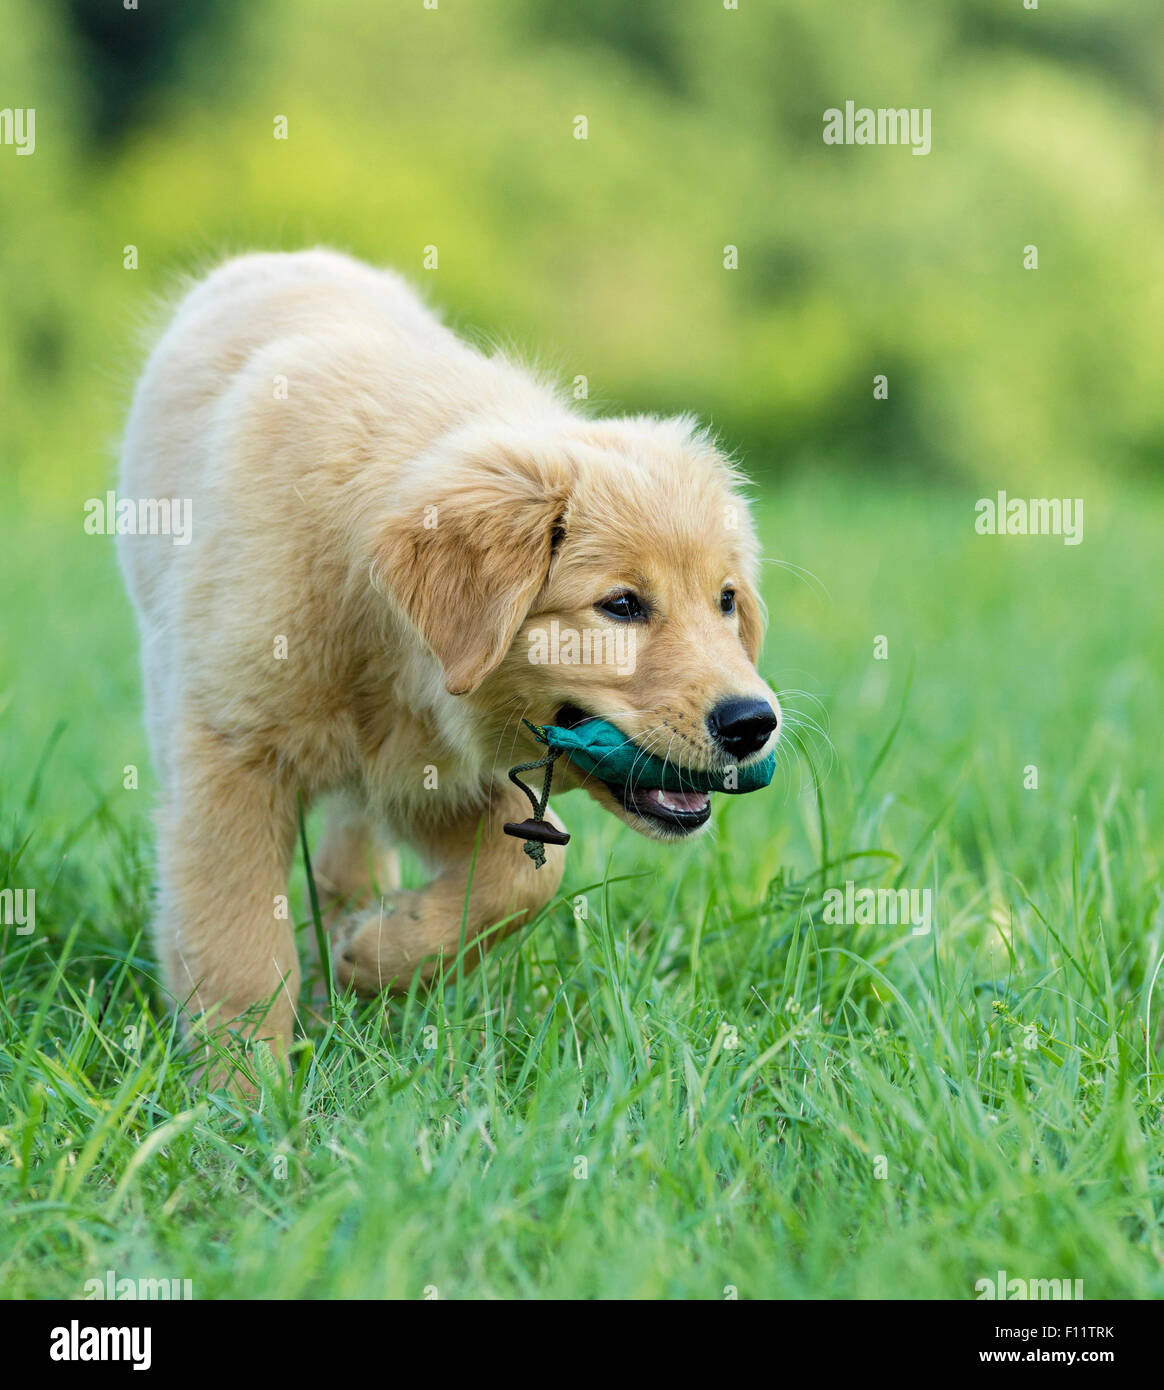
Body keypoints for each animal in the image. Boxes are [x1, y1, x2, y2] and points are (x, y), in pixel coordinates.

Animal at [118, 250, 778, 1056]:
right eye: (621, 606)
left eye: (726, 601)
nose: (754, 723)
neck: (384, 632)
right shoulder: (231, 759)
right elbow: (238, 951)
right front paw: (243, 1083)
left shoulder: (436, 773)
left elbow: (524, 879)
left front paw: (377, 952)